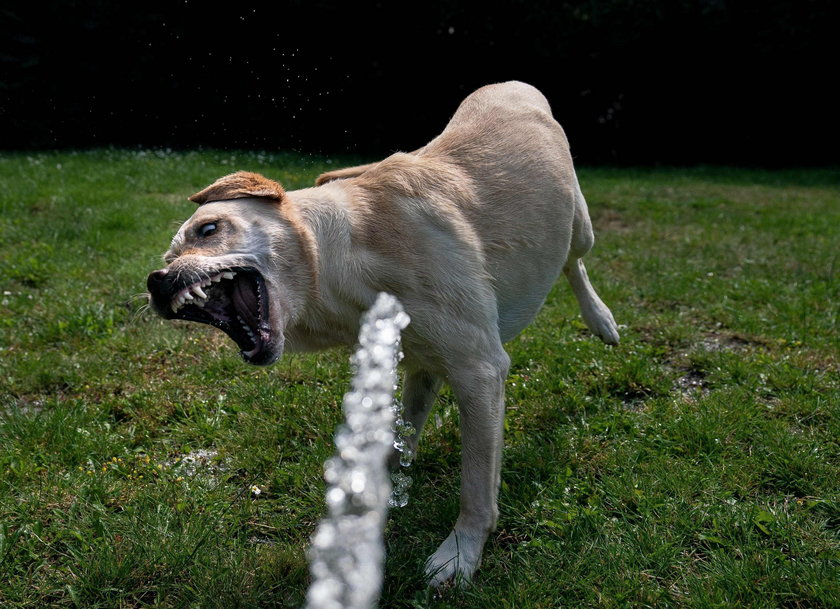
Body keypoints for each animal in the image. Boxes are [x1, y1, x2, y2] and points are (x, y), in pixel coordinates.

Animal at [146, 81, 616, 584]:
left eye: (209, 229)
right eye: (168, 256)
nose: (156, 280)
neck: (345, 261)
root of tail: (512, 83)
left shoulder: (480, 369)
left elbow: (475, 485)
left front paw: (459, 555)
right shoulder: (422, 362)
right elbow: (401, 432)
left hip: (579, 224)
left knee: (573, 259)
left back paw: (602, 320)